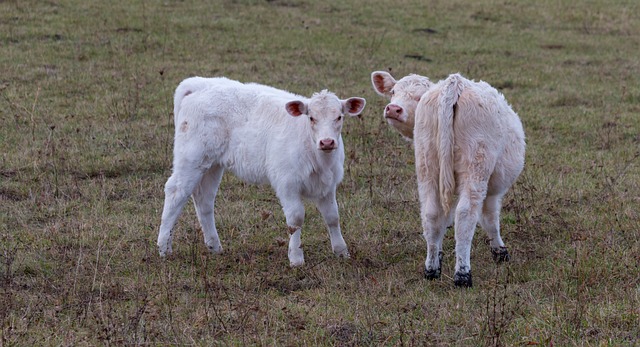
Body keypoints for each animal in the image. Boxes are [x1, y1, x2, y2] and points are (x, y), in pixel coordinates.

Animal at [158, 77, 368, 266]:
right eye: (311, 117)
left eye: (339, 117)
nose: (327, 142)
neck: (317, 157)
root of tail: (198, 84)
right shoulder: (287, 183)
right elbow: (296, 219)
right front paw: (296, 258)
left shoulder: (328, 185)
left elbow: (333, 217)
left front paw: (341, 252)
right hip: (191, 157)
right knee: (175, 192)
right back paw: (164, 248)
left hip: (212, 164)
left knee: (204, 200)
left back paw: (214, 247)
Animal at [370, 71, 524, 288]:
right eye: (393, 91)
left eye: (417, 96)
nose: (393, 108)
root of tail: (454, 83)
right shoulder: (492, 190)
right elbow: (490, 219)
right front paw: (500, 252)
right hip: (475, 168)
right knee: (465, 216)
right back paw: (463, 275)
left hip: (428, 167)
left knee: (431, 214)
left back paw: (432, 269)